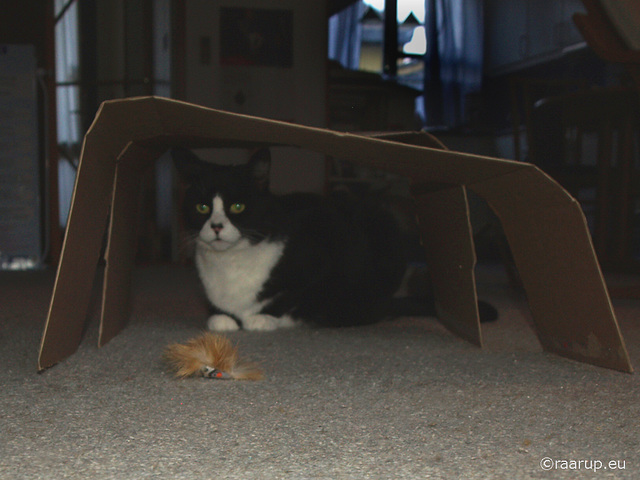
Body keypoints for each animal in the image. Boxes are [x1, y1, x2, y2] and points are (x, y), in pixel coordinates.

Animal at [171, 149, 410, 330]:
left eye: (238, 206)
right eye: (202, 207)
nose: (216, 226)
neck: (230, 263)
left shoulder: (322, 253)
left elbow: (295, 296)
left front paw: (264, 318)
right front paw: (221, 317)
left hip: (381, 220)